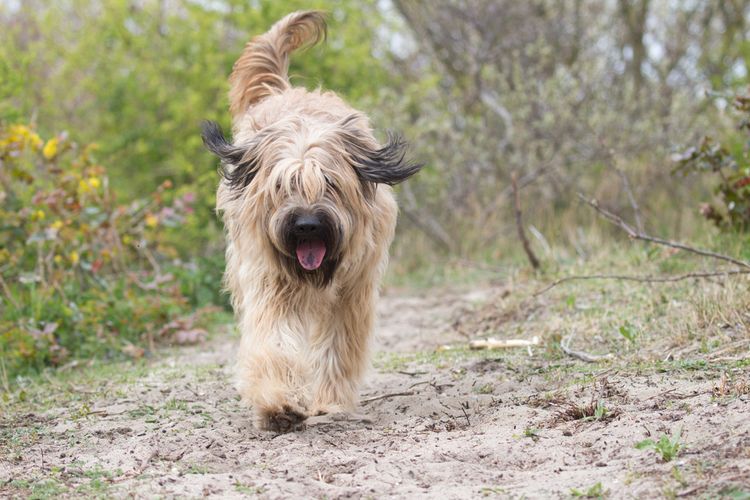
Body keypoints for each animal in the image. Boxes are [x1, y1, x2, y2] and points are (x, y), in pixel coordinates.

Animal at [201, 9, 424, 432]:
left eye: (330, 184)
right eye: (282, 186)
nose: (306, 225)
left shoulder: (353, 289)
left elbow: (338, 345)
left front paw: (330, 402)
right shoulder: (270, 280)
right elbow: (273, 339)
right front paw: (279, 402)